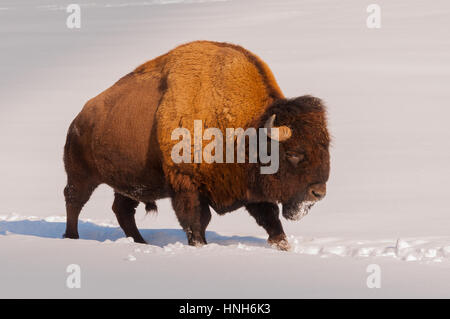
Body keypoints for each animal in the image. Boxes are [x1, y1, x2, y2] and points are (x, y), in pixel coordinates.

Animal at [62, 40, 330, 251]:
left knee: (123, 210)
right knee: (74, 200)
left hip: (129, 182)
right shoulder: (186, 184)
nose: (318, 193)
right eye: (294, 154)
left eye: (326, 149)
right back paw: (72, 237)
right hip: (81, 175)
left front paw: (283, 246)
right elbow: (196, 221)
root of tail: (79, 119)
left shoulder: (248, 186)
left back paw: (140, 242)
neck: (247, 131)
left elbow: (270, 219)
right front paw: (200, 247)